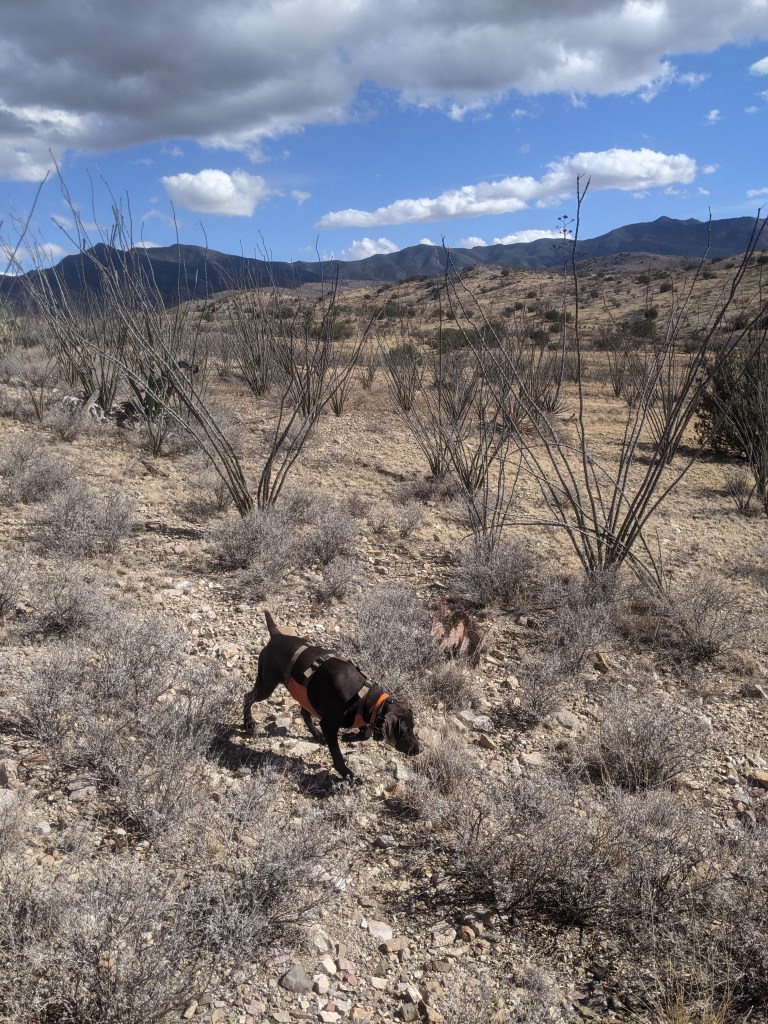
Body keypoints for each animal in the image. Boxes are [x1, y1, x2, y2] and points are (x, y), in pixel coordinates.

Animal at [243, 611, 420, 780]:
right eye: (405, 730)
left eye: (412, 728)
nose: (418, 750)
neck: (366, 698)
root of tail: (276, 635)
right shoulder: (329, 725)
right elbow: (337, 756)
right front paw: (347, 774)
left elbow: (363, 734)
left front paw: (349, 737)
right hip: (267, 684)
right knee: (248, 697)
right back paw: (248, 723)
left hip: (306, 694)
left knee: (304, 712)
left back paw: (316, 734)